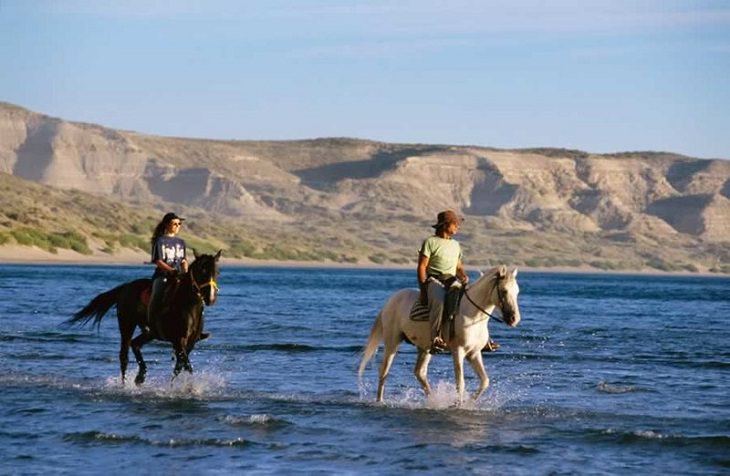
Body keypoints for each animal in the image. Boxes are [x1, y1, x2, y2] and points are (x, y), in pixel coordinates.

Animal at [69, 251, 222, 384]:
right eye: (202, 271)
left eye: (217, 272)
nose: (211, 298)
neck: (189, 306)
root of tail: (126, 287)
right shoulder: (179, 340)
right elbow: (187, 366)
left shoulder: (190, 342)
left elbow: (180, 367)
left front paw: (181, 387)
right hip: (127, 324)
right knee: (124, 355)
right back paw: (125, 385)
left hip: (150, 332)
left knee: (135, 344)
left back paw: (140, 376)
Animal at [356, 264, 516, 402]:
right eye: (504, 291)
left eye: (517, 292)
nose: (514, 319)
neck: (471, 314)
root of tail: (391, 300)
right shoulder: (458, 351)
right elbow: (460, 383)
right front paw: (457, 404)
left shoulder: (474, 353)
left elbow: (485, 381)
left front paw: (470, 402)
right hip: (392, 342)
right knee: (384, 371)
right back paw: (380, 401)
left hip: (425, 347)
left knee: (419, 372)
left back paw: (432, 399)